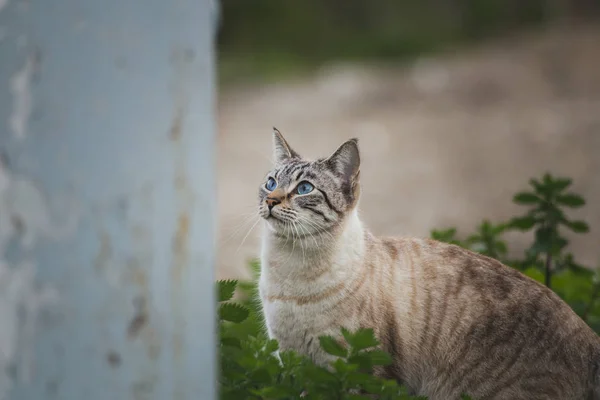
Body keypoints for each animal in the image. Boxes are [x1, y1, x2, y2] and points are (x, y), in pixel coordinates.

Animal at [256, 129, 600, 400]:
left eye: (304, 189)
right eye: (270, 183)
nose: (270, 201)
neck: (292, 272)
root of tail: (591, 340)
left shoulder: (355, 372)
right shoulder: (294, 361)